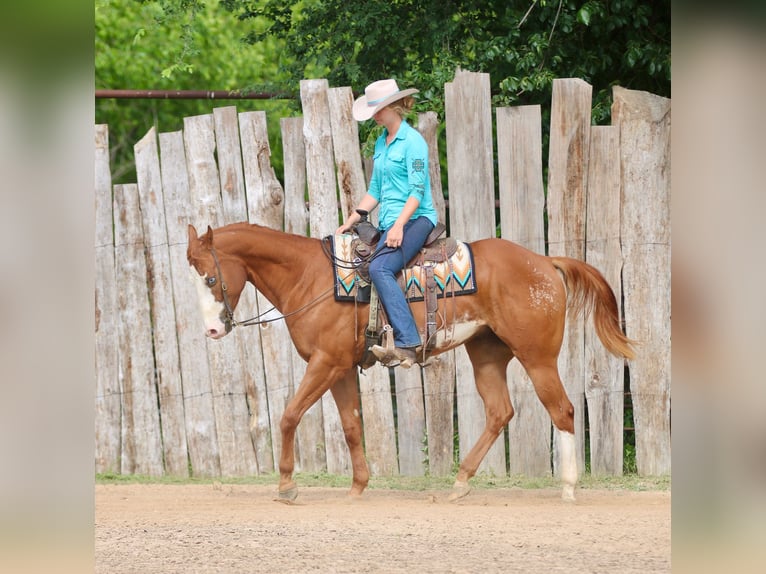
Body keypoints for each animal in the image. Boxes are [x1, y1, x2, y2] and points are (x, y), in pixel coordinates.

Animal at [187, 222, 635, 503]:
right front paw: (358, 487)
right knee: (499, 412)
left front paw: (285, 486)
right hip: (486, 353)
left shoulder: (324, 364)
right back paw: (460, 482)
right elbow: (351, 426)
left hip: (538, 357)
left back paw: (569, 488)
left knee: (562, 410)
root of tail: (545, 263)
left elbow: (289, 415)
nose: (211, 331)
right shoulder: (339, 368)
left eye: (211, 277)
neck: (311, 277)